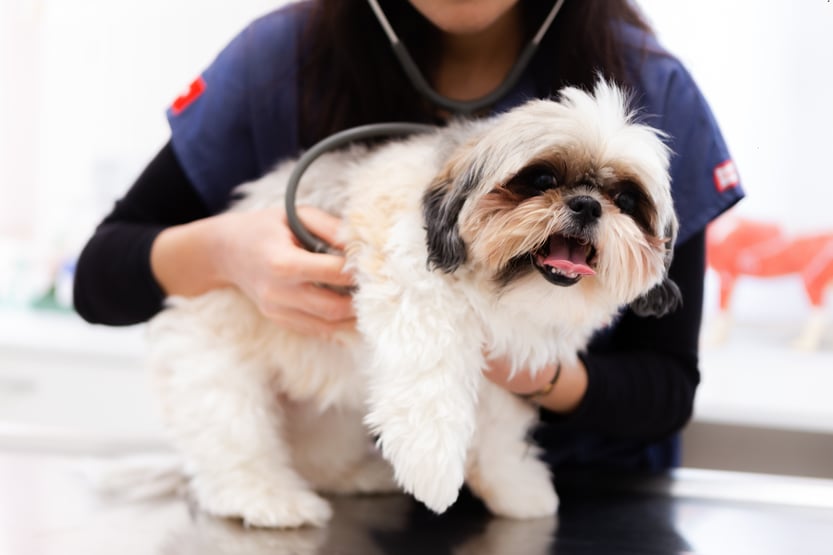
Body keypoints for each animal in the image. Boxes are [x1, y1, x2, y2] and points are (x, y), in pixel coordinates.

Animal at [146, 81, 680, 528]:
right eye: (541, 178)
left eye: (626, 199)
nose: (588, 204)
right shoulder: (412, 296)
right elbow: (431, 385)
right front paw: (434, 473)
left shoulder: (505, 369)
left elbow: (498, 433)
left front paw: (515, 489)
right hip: (220, 376)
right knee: (234, 447)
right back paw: (269, 499)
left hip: (331, 417)